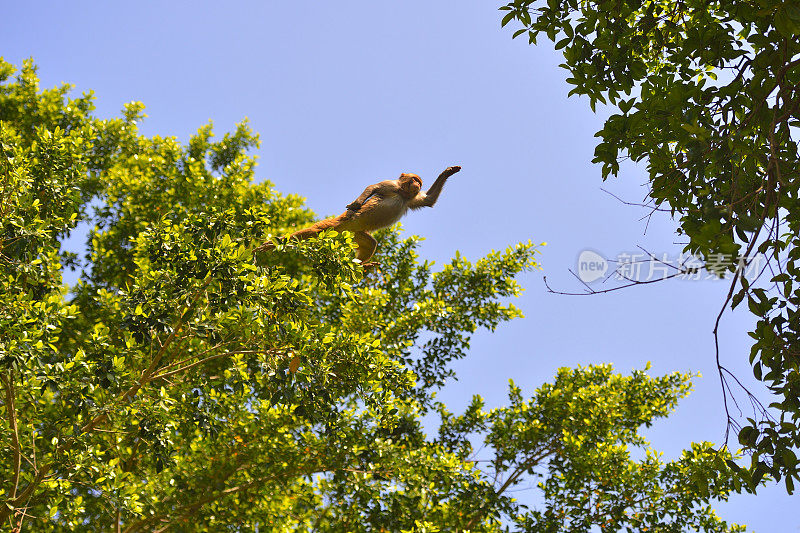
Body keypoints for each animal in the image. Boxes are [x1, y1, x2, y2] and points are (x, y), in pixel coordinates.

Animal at [260, 165, 460, 264]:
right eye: (414, 180)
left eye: (419, 182)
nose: (417, 185)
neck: (403, 194)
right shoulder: (391, 185)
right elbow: (373, 188)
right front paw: (356, 204)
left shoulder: (411, 198)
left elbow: (428, 201)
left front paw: (448, 172)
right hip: (340, 224)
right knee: (315, 231)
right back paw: (271, 244)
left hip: (355, 233)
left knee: (370, 244)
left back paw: (357, 265)